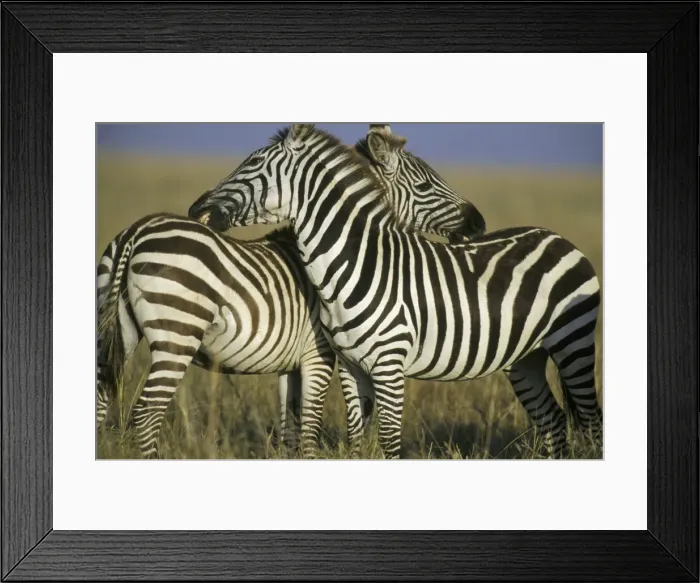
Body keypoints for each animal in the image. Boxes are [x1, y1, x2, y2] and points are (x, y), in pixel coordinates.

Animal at [96, 125, 486, 459]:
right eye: (425, 185)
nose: (478, 222)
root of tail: (136, 231)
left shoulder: (290, 364)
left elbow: (289, 431)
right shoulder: (320, 354)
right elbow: (310, 431)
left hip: (119, 333)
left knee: (101, 400)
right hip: (176, 336)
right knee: (147, 412)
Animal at [188, 123, 604, 460]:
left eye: (252, 166)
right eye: (423, 185)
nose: (195, 209)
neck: (354, 266)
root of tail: (554, 235)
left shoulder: (388, 366)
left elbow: (388, 441)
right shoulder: (350, 366)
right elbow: (356, 439)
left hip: (573, 344)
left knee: (592, 418)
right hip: (526, 358)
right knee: (553, 422)